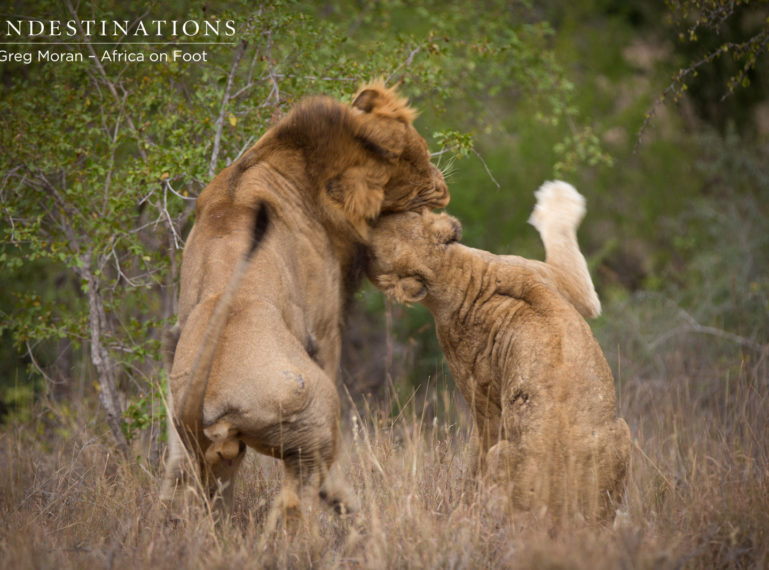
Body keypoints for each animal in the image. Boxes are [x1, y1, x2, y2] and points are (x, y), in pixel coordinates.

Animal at [161, 82, 450, 520]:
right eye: (418, 166)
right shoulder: (325, 328)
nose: (445, 187)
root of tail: (203, 400)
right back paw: (346, 509)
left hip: (199, 441)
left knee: (190, 488)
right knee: (299, 496)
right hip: (313, 414)